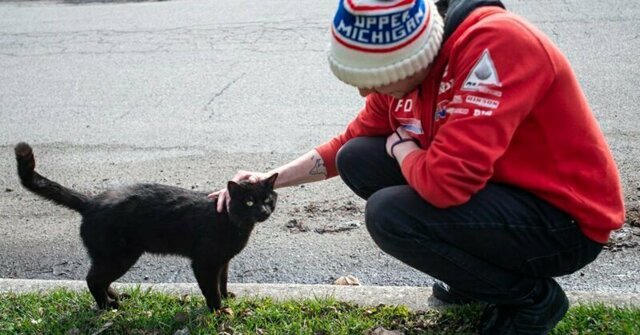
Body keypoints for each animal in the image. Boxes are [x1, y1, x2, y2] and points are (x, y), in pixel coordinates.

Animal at [13, 143, 278, 314]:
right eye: (249, 202)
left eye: (267, 199)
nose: (263, 211)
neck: (234, 222)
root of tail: (91, 202)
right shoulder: (204, 262)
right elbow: (210, 289)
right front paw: (218, 311)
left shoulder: (223, 261)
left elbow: (222, 280)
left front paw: (226, 296)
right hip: (119, 256)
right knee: (92, 279)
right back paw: (108, 307)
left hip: (113, 257)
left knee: (99, 278)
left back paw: (116, 298)